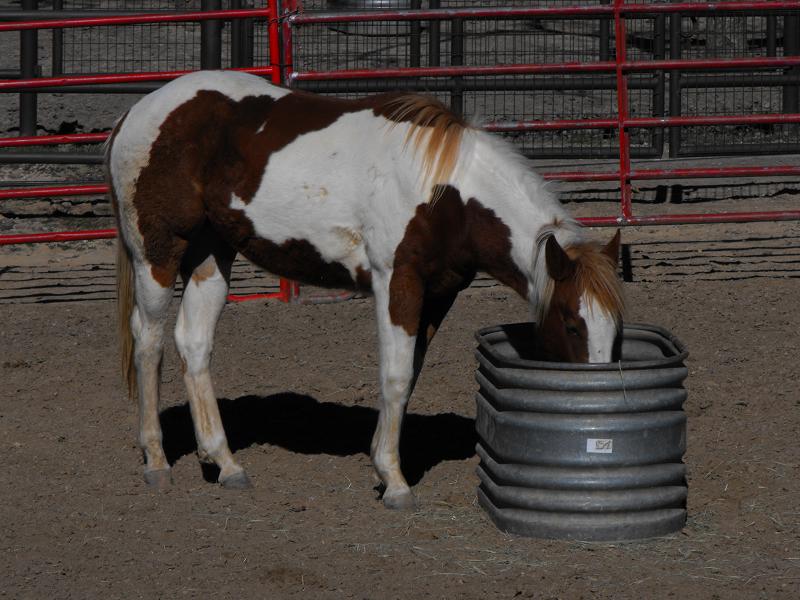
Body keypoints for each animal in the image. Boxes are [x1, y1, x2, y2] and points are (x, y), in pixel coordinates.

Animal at [107, 70, 624, 509]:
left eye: (616, 330)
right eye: (571, 324)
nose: (600, 398)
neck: (446, 194)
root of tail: (136, 112)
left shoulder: (440, 294)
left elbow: (408, 378)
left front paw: (383, 462)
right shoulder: (398, 282)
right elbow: (394, 376)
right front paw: (394, 481)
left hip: (211, 255)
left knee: (193, 343)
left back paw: (224, 462)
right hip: (157, 253)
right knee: (149, 342)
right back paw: (156, 461)